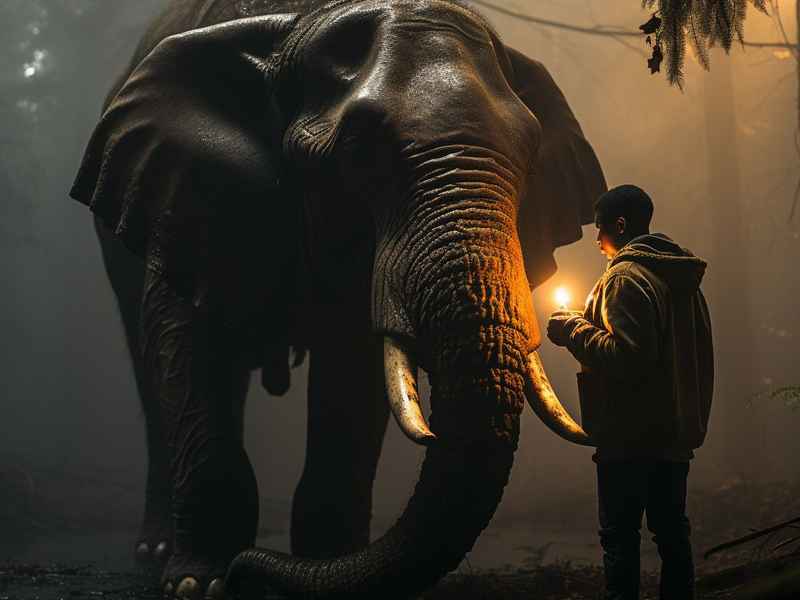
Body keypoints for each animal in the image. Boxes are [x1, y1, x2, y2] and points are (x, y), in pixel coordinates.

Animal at [71, 0, 606, 597]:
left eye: (531, 157)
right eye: (357, 149)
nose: (243, 570)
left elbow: (352, 367)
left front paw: (319, 560)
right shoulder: (189, 197)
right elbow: (186, 336)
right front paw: (198, 585)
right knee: (153, 369)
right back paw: (157, 554)